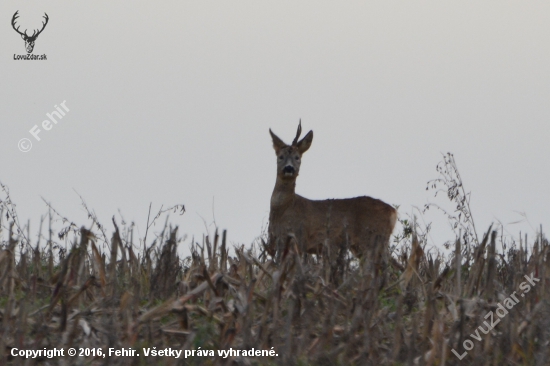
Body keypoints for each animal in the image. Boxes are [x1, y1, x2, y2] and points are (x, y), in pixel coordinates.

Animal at [268, 121, 396, 262]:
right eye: (280, 157)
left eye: (297, 157)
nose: (289, 168)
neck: (284, 207)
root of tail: (393, 212)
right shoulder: (279, 239)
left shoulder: (298, 237)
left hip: (372, 238)